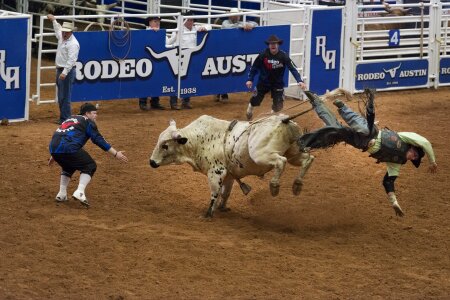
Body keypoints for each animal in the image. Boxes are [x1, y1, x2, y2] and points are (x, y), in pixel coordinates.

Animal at [149, 115, 314, 218]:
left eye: (165, 145)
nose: (151, 162)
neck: (199, 139)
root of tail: (284, 121)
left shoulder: (216, 172)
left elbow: (215, 193)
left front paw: (208, 213)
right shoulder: (229, 175)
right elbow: (225, 193)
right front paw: (222, 207)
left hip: (262, 155)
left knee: (281, 161)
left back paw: (274, 186)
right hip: (294, 153)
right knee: (308, 159)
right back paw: (297, 184)